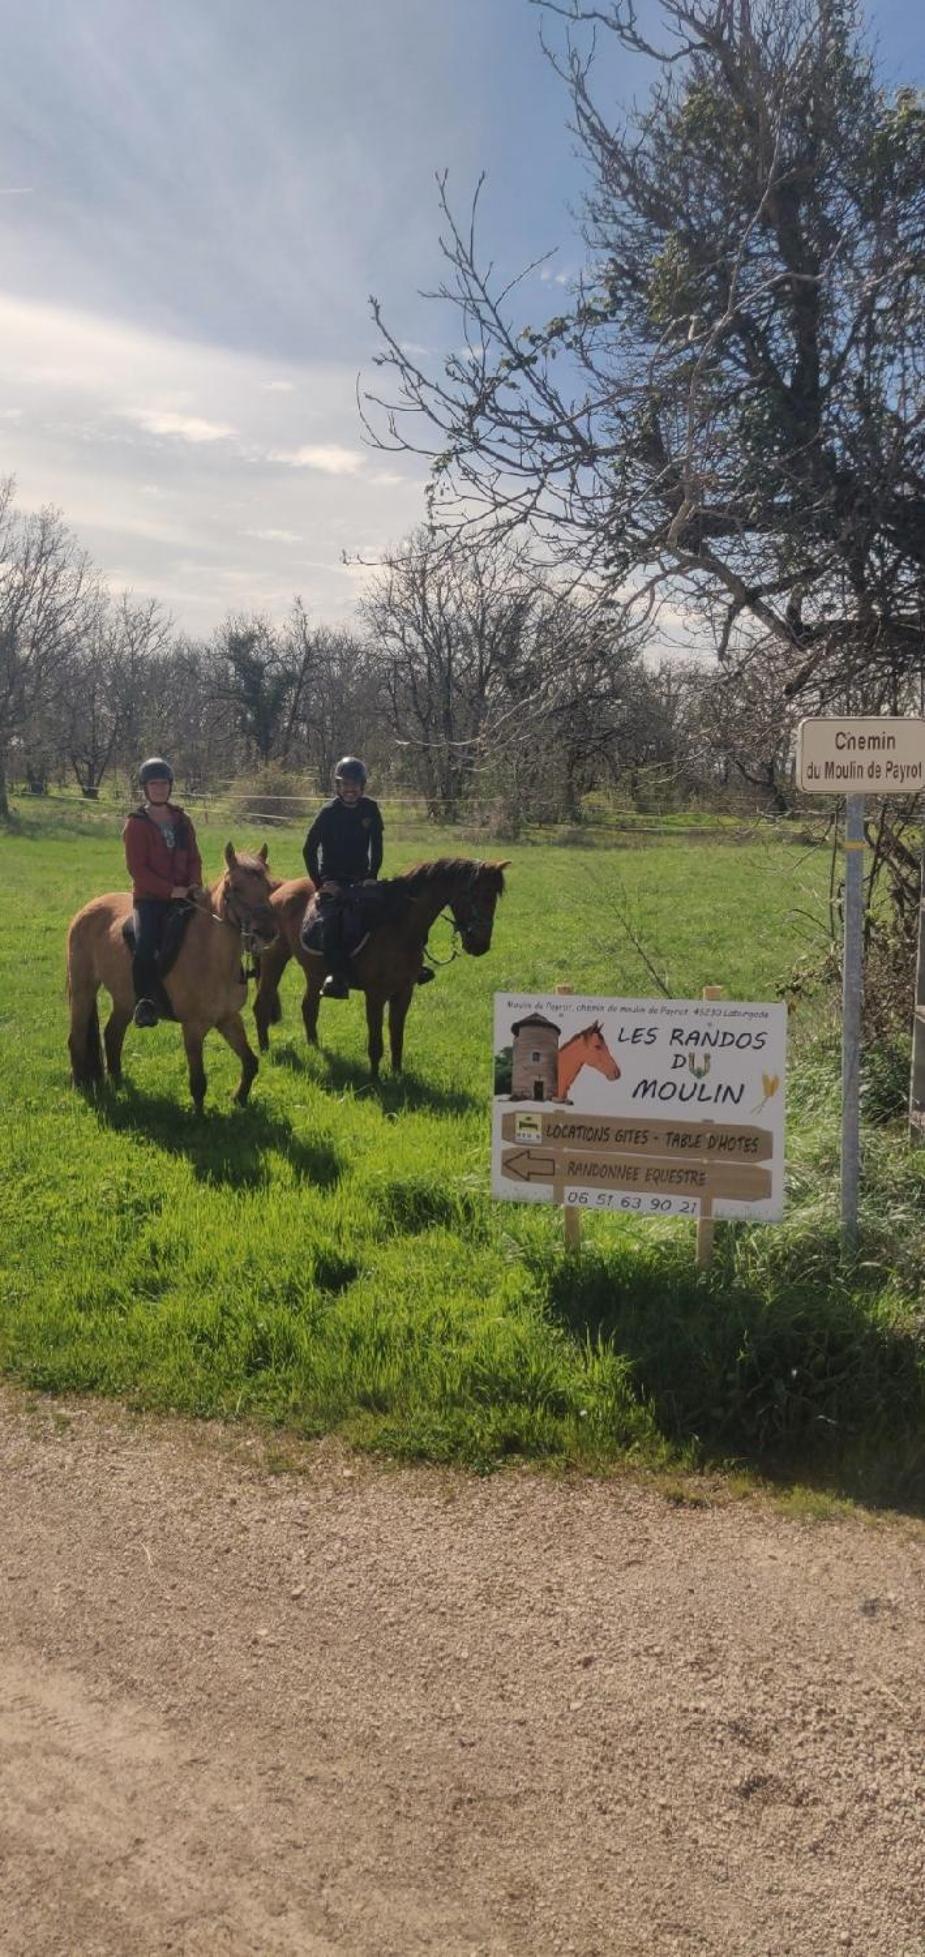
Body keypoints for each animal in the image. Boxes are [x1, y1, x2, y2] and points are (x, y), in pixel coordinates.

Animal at [66, 845, 277, 1111]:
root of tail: (88, 907)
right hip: (83, 990)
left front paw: (239, 1098)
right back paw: (80, 1086)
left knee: (112, 1035)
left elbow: (250, 1062)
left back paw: (119, 1081)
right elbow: (198, 1082)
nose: (266, 932)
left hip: (125, 1000)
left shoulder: (228, 1018)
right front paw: (199, 1117)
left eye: (268, 887)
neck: (210, 957)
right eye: (235, 887)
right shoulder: (193, 1027)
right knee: (77, 1038)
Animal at [254, 853, 504, 1072]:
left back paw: (314, 1047)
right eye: (480, 895)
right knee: (262, 1004)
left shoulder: (404, 992)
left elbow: (396, 1036)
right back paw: (265, 1049)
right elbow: (375, 1041)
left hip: (314, 973)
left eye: (494, 897)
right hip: (273, 960)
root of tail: (278, 891)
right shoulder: (376, 994)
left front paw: (397, 1074)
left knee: (308, 1007)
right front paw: (375, 1079)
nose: (481, 945)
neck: (400, 927)